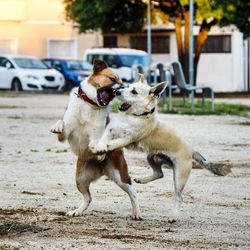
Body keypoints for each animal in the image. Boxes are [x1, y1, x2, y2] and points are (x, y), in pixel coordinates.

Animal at [50, 60, 141, 219]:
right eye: (112, 79)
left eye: (122, 82)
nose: (121, 89)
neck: (90, 105)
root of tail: (102, 170)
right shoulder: (65, 135)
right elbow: (61, 124)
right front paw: (57, 126)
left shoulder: (95, 137)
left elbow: (97, 143)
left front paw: (101, 151)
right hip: (80, 178)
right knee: (88, 198)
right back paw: (77, 211)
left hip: (120, 176)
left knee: (133, 192)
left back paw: (137, 212)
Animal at [92, 74, 230, 223]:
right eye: (127, 86)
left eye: (134, 92)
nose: (116, 92)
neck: (133, 117)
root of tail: (191, 150)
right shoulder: (111, 129)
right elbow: (104, 139)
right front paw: (100, 150)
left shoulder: (127, 139)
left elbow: (111, 144)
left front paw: (99, 150)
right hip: (151, 157)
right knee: (159, 173)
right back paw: (142, 179)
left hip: (179, 176)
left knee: (179, 196)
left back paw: (173, 216)